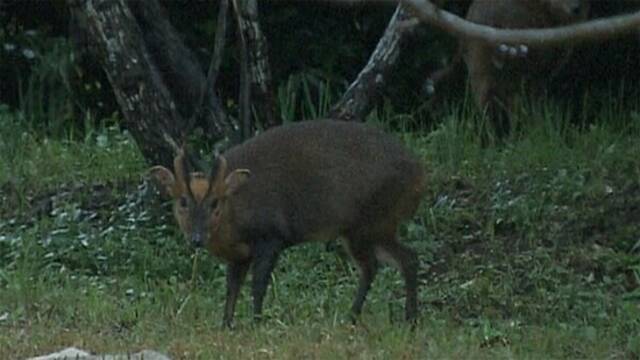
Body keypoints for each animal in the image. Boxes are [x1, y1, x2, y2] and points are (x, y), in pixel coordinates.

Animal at [149, 120, 424, 326]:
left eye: (215, 203)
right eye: (182, 202)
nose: (196, 238)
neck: (235, 218)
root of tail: (420, 174)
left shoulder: (273, 236)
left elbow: (258, 285)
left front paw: (256, 322)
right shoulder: (239, 256)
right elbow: (232, 288)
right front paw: (226, 324)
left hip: (370, 219)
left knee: (378, 264)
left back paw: (374, 317)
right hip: (373, 226)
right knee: (403, 259)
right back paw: (395, 318)